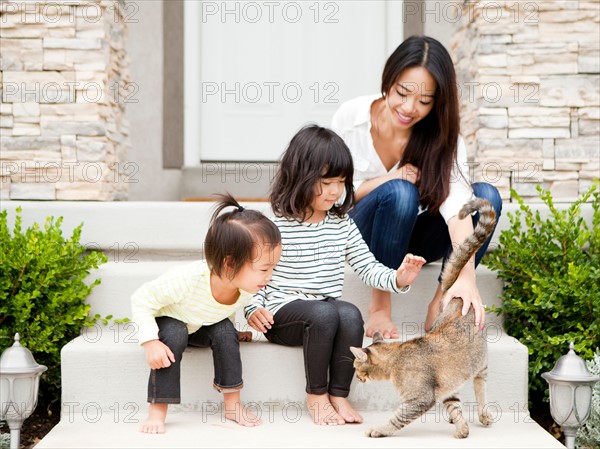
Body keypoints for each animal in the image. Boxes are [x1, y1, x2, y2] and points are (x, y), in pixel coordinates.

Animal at [350, 199, 494, 438]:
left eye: (355, 367)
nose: (356, 377)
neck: (396, 358)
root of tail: (457, 295)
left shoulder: (419, 399)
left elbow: (396, 419)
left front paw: (379, 430)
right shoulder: (444, 391)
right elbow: (455, 407)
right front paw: (462, 428)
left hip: (480, 363)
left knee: (480, 386)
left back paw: (484, 413)